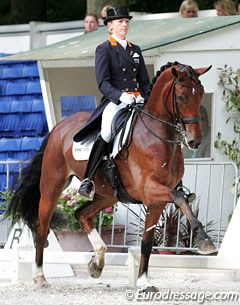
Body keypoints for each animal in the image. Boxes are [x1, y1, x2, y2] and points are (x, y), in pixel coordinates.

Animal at [5, 61, 216, 288]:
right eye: (181, 97)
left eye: (201, 94)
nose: (194, 141)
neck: (157, 135)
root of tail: (58, 127)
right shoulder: (149, 190)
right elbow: (179, 198)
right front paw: (204, 240)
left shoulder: (156, 201)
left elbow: (147, 242)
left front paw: (143, 281)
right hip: (52, 186)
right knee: (42, 229)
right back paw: (40, 277)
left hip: (108, 195)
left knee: (81, 214)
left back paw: (97, 263)